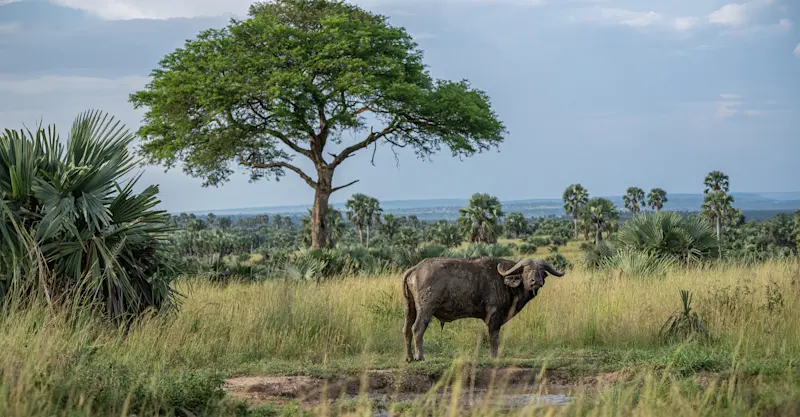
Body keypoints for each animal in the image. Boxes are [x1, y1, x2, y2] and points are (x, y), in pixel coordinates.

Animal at [401, 257, 565, 361]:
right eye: (526, 270)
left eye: (542, 271)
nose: (535, 281)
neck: (504, 282)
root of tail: (416, 268)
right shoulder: (494, 316)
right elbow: (494, 337)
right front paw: (495, 357)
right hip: (426, 309)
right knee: (417, 328)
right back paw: (419, 356)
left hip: (410, 308)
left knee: (406, 329)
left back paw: (409, 357)